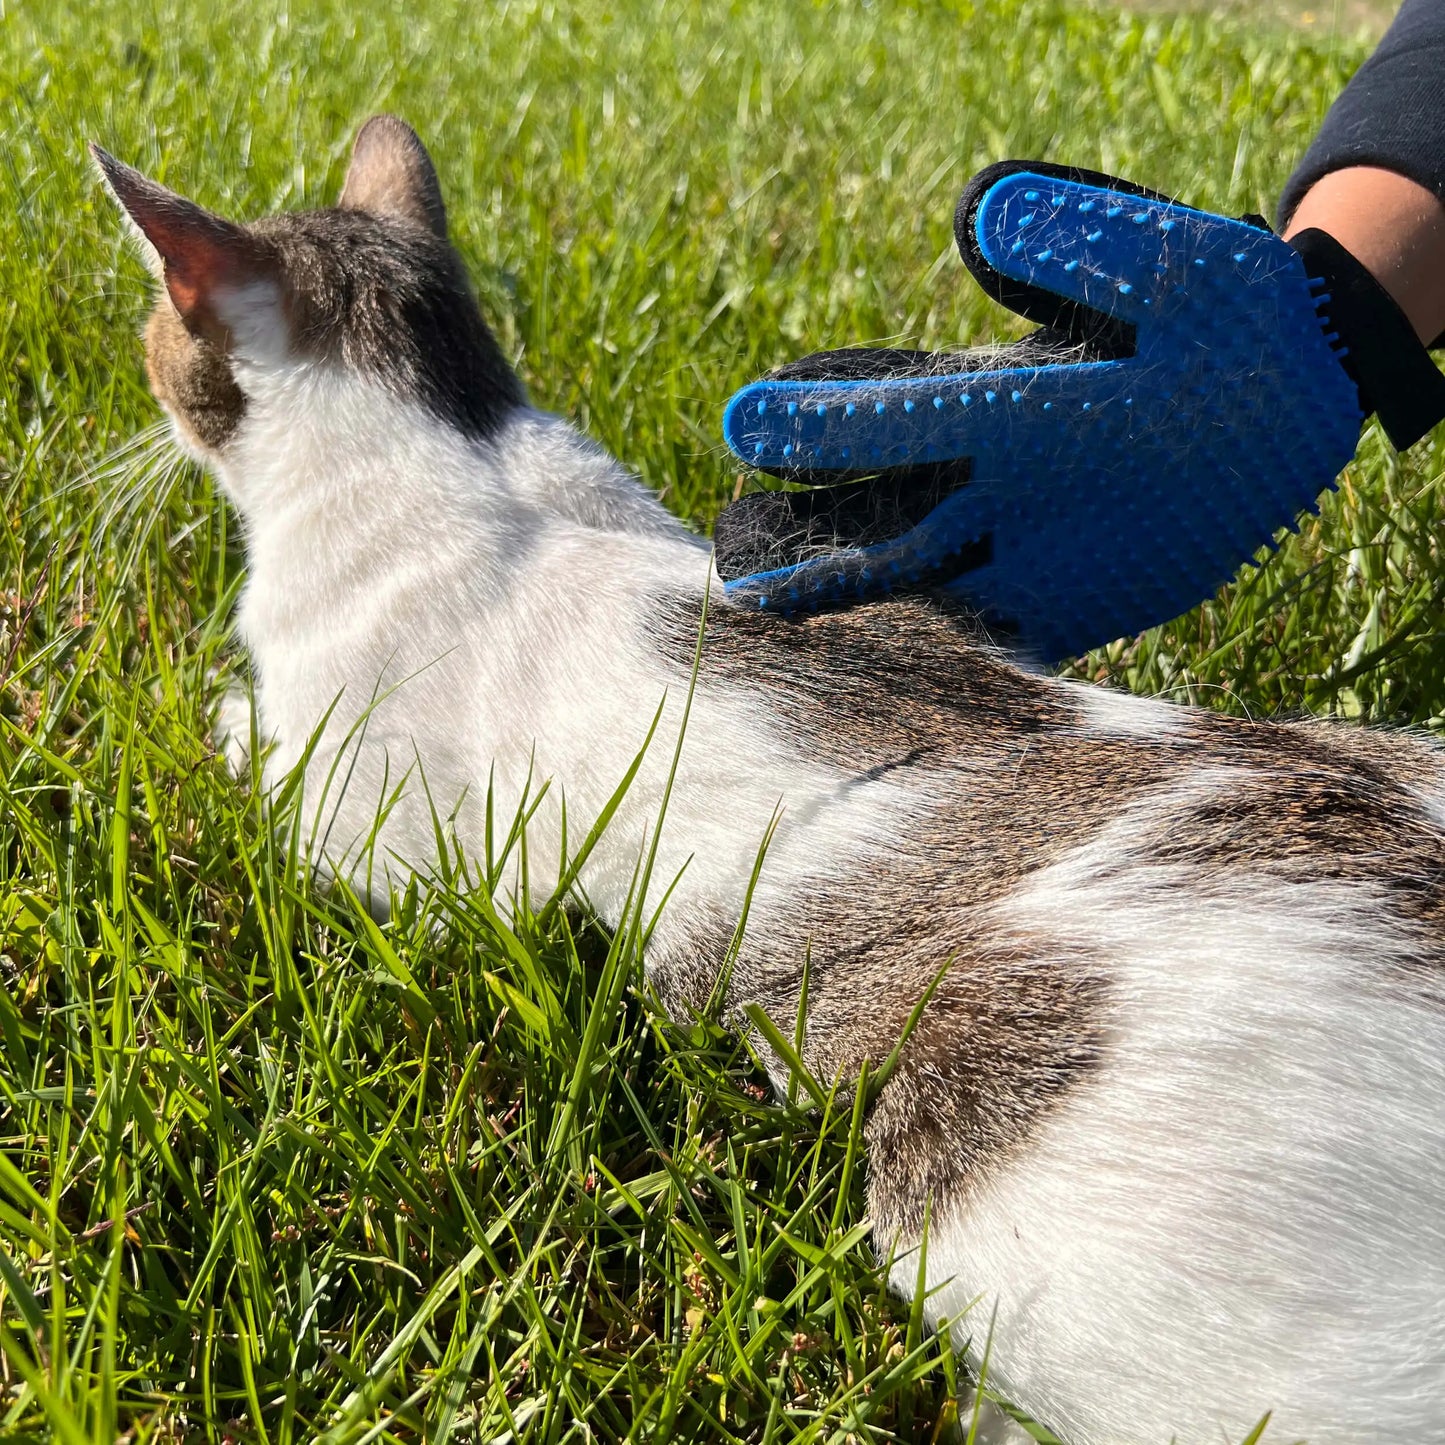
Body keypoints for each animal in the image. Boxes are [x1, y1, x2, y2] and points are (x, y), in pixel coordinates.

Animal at [96, 115, 1445, 1445]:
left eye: (156, 335)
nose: (149, 391)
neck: (458, 451)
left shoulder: (375, 840)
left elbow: (265, 760)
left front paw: (214, 711)